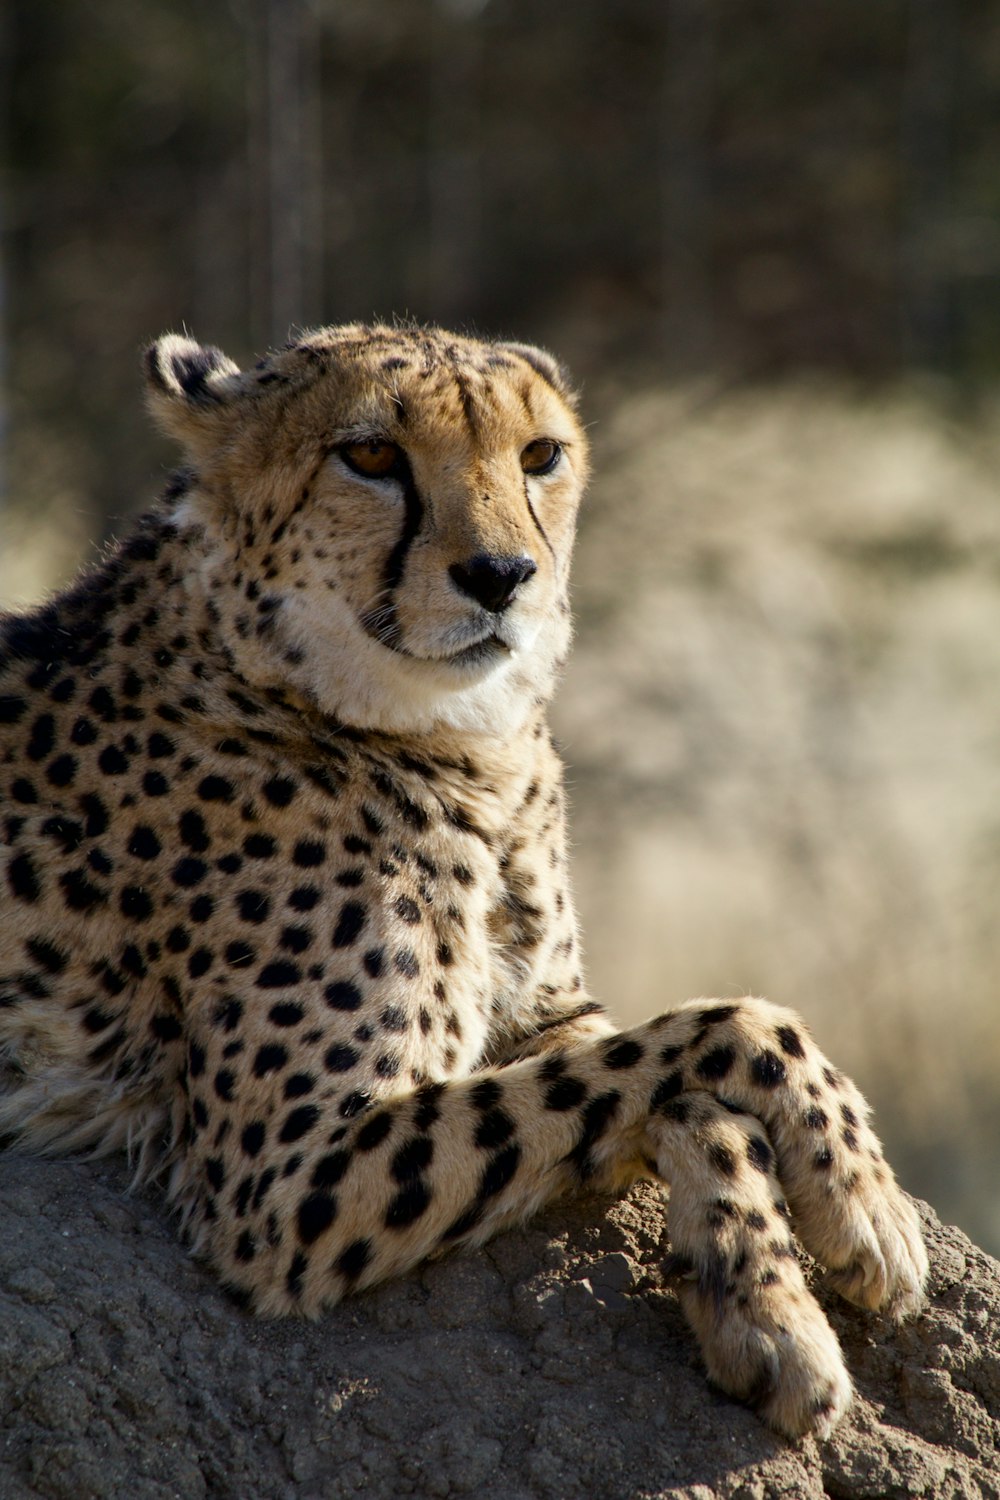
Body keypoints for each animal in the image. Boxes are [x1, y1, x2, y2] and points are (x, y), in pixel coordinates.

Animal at [0, 325, 929, 1428]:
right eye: (369, 456)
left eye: (540, 455)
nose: (501, 575)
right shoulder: (287, 1178)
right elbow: (728, 1026)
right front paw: (864, 1210)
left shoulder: (548, 1012)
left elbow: (664, 1075)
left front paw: (768, 1305)